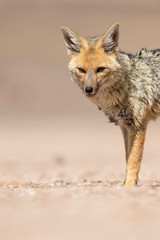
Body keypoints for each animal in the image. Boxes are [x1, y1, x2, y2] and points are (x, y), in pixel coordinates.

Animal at [61, 23, 160, 187]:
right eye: (81, 70)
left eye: (100, 69)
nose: (89, 90)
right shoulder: (125, 126)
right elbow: (127, 157)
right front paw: (127, 183)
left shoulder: (138, 125)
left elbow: (134, 160)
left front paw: (129, 185)